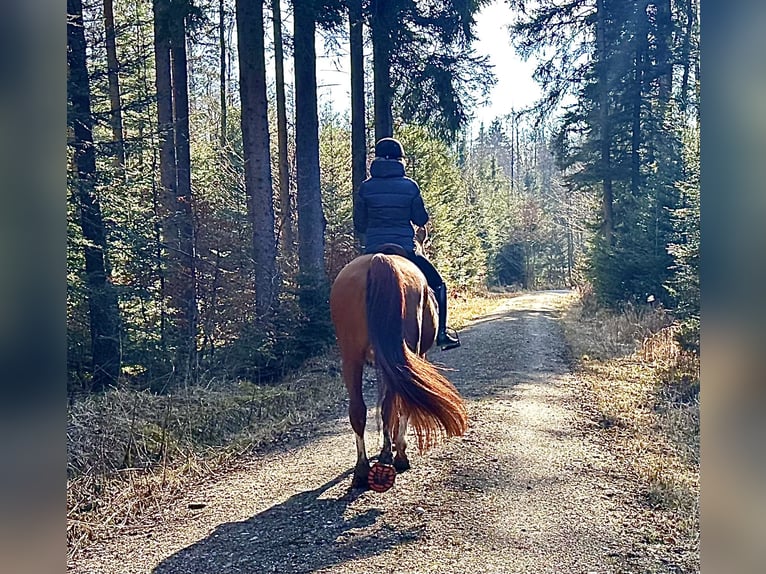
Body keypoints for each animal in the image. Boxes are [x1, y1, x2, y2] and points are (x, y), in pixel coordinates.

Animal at [329, 246, 468, 491]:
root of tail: (380, 259)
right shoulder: (418, 355)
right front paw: (397, 445)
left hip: (351, 358)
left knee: (358, 410)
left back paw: (362, 470)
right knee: (398, 402)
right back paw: (394, 457)